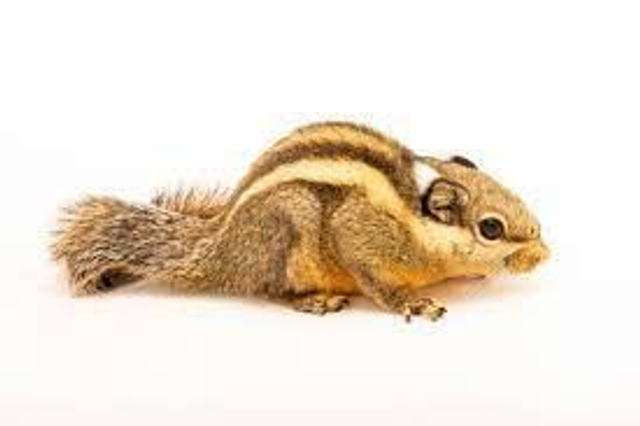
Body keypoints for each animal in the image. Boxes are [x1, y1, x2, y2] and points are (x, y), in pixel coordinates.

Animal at [51, 121, 549, 321]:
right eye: (491, 227)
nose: (544, 254)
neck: (414, 217)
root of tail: (221, 246)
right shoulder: (361, 233)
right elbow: (373, 276)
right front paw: (410, 302)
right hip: (288, 230)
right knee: (267, 290)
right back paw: (312, 301)